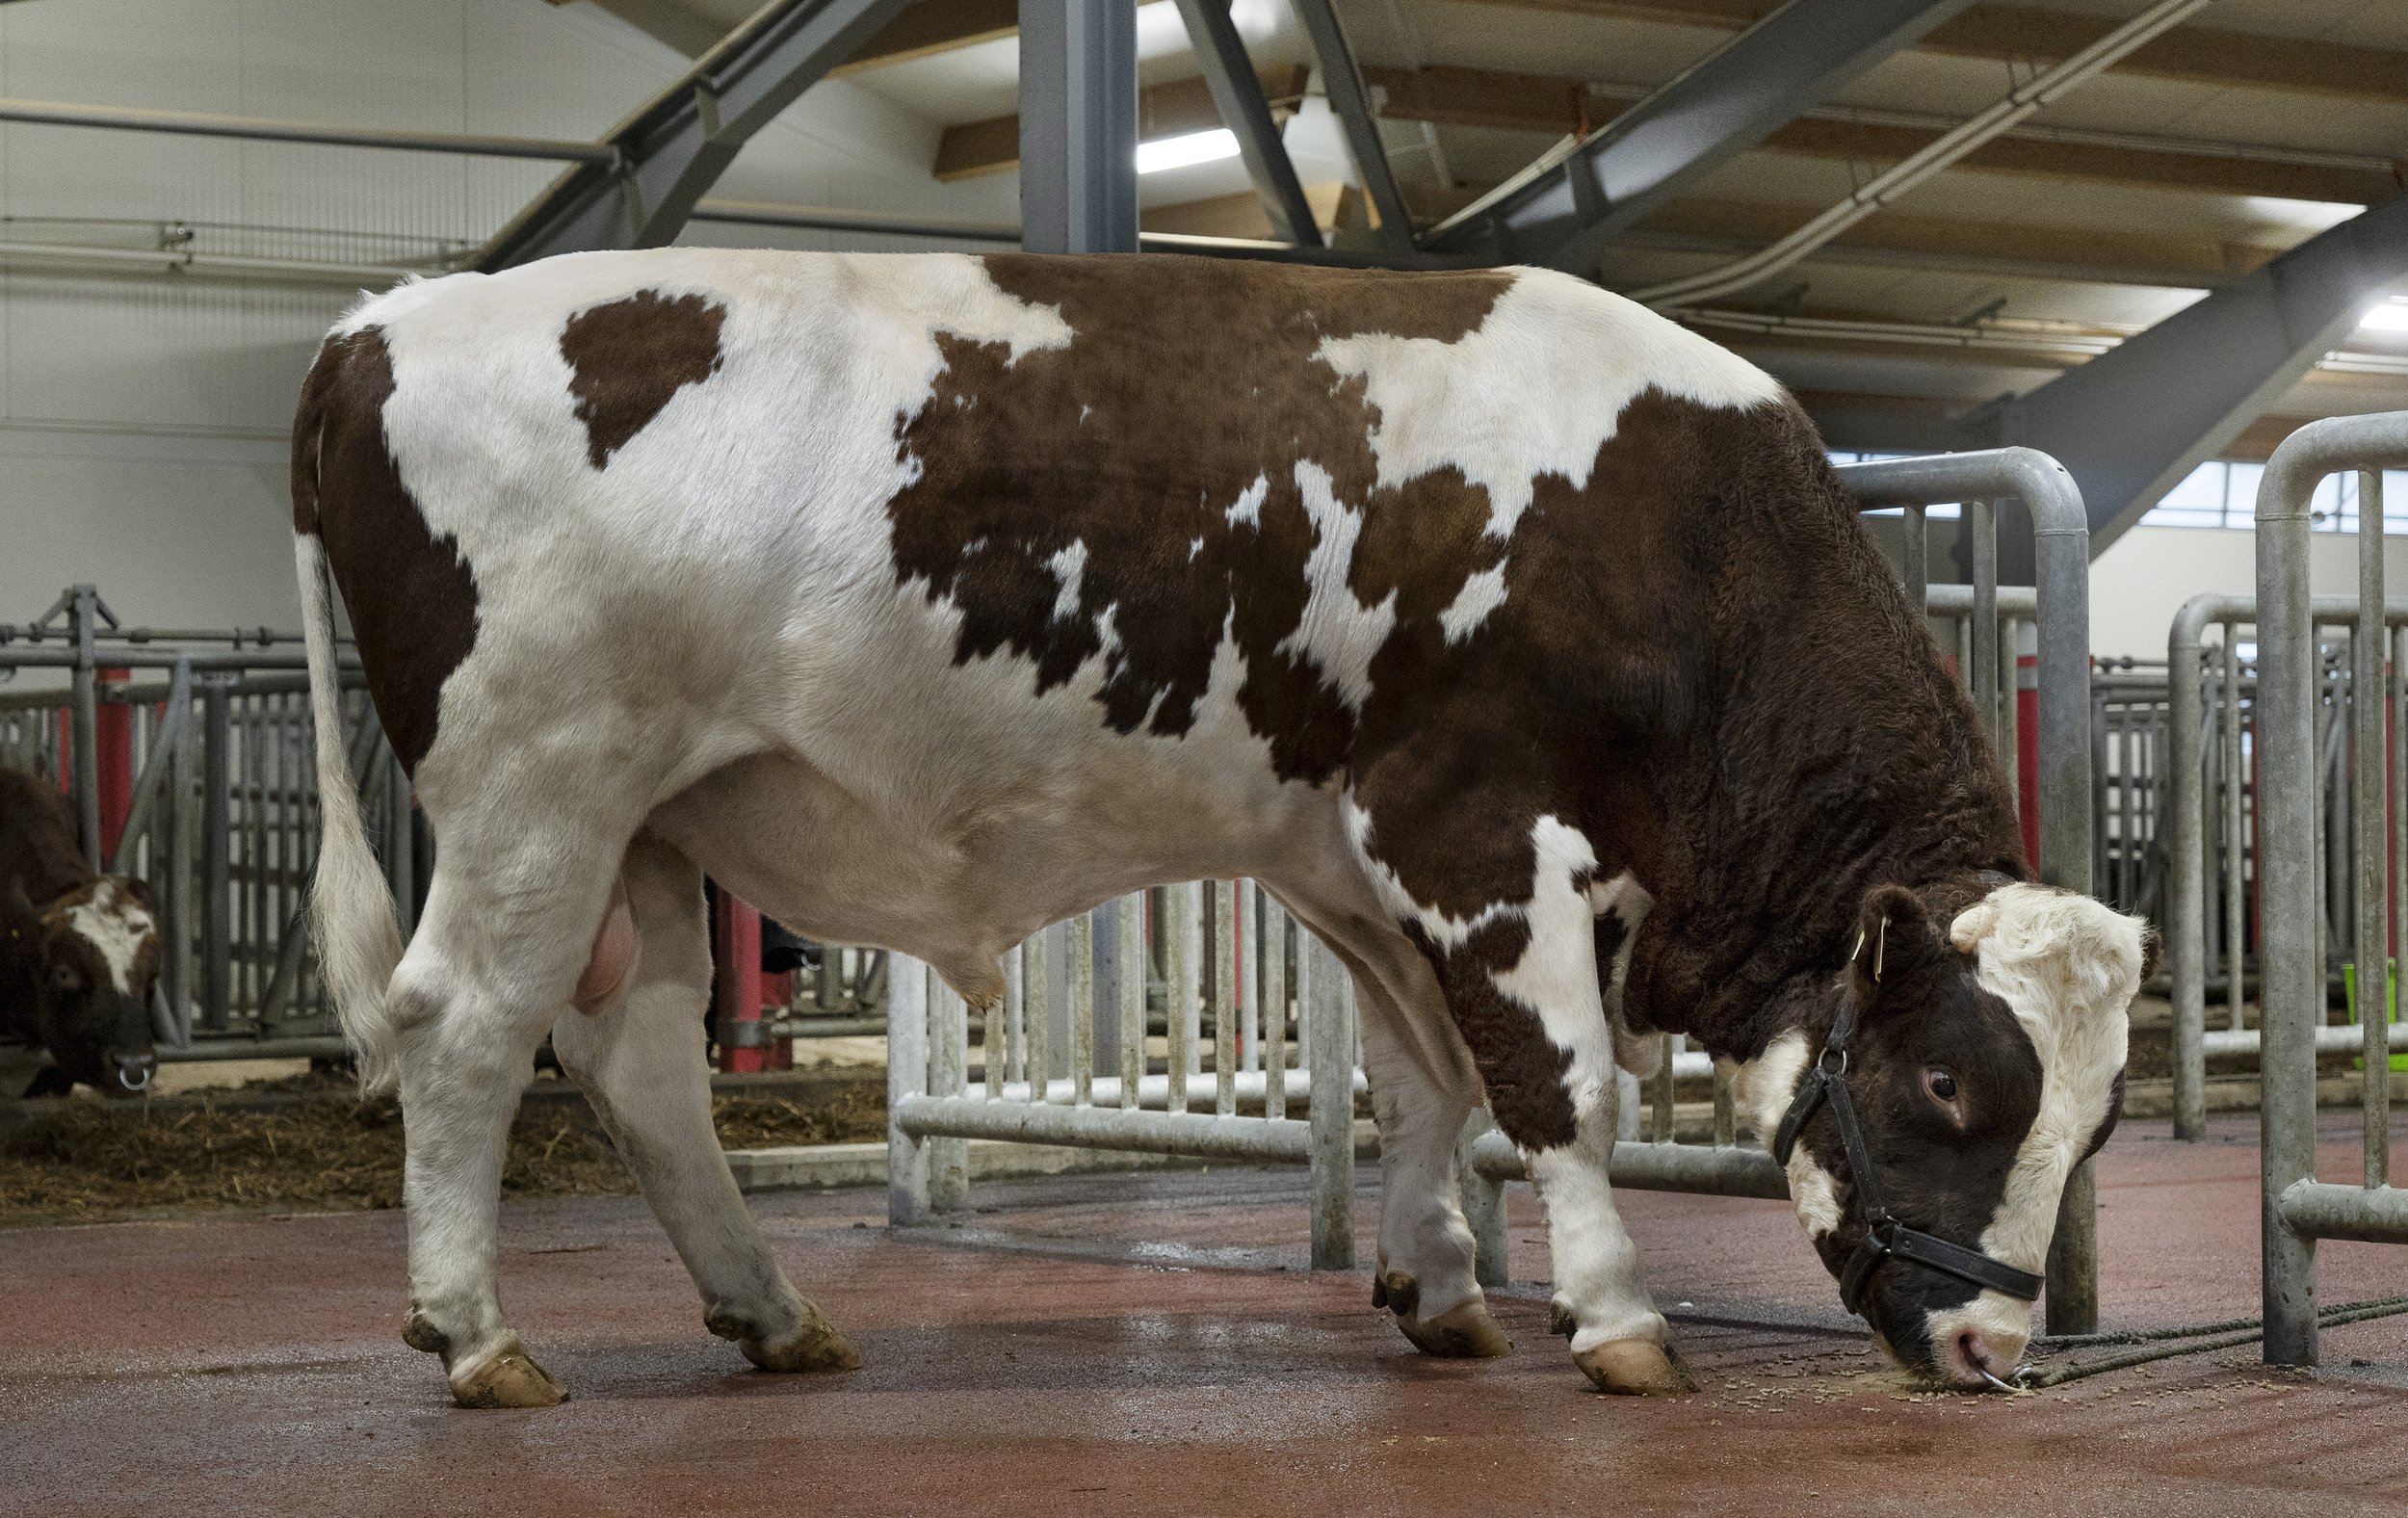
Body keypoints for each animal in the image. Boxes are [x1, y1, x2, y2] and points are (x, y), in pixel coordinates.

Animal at [288, 249, 2147, 1410]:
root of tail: (390, 320)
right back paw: (477, 1337)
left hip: (656, 824)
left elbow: (1423, 1079)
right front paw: (1616, 1316)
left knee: (641, 1059)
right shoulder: (1470, 826)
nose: (1991, 1350)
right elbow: (1557, 1086)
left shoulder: (1352, 857)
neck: (1680, 548)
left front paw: (1437, 1286)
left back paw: (771, 1311)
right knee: (464, 1027)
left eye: (2103, 1123)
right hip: (540, 783)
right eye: (1949, 1085)